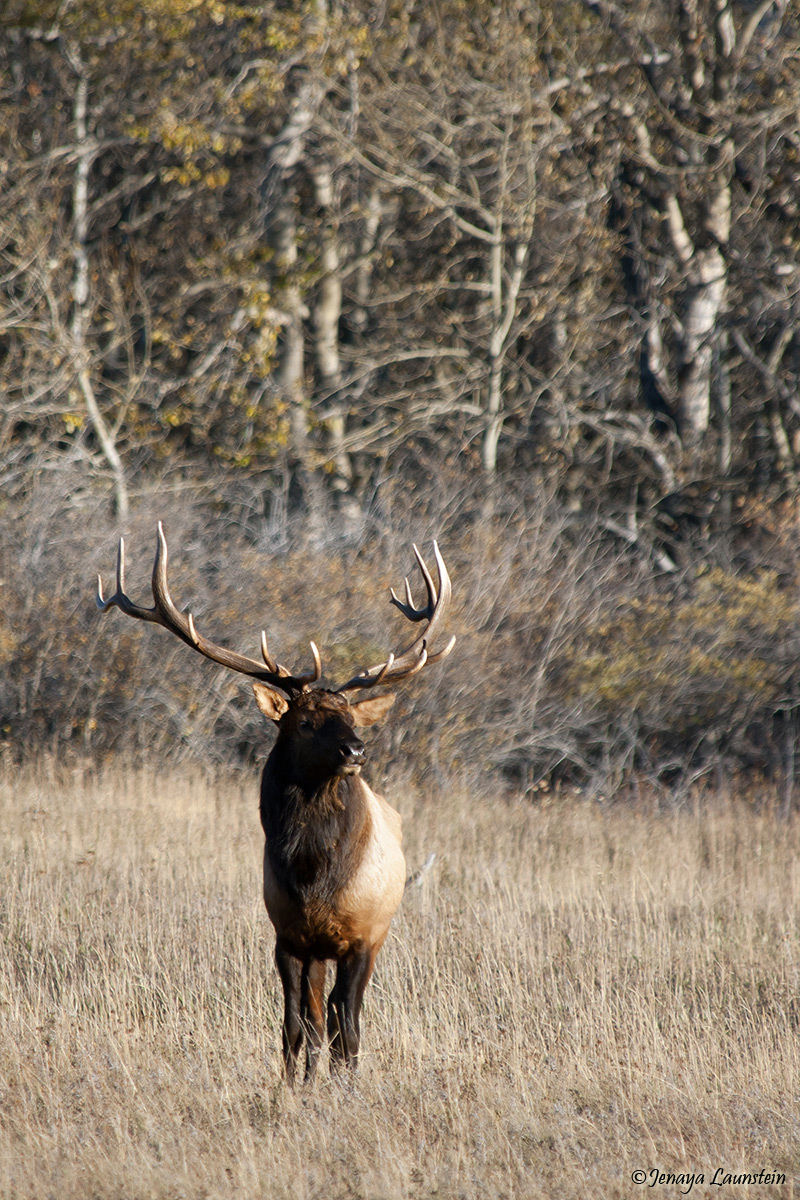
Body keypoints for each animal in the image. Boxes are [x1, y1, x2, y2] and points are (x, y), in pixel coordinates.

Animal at [96, 525, 454, 1083]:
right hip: (316, 951)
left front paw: (346, 1088)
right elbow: (294, 1025)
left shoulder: (361, 936)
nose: (357, 750)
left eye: (350, 717)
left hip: (374, 934)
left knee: (340, 1018)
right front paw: (290, 1088)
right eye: (304, 721)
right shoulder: (287, 936)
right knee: (317, 1017)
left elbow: (348, 1026)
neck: (313, 878)